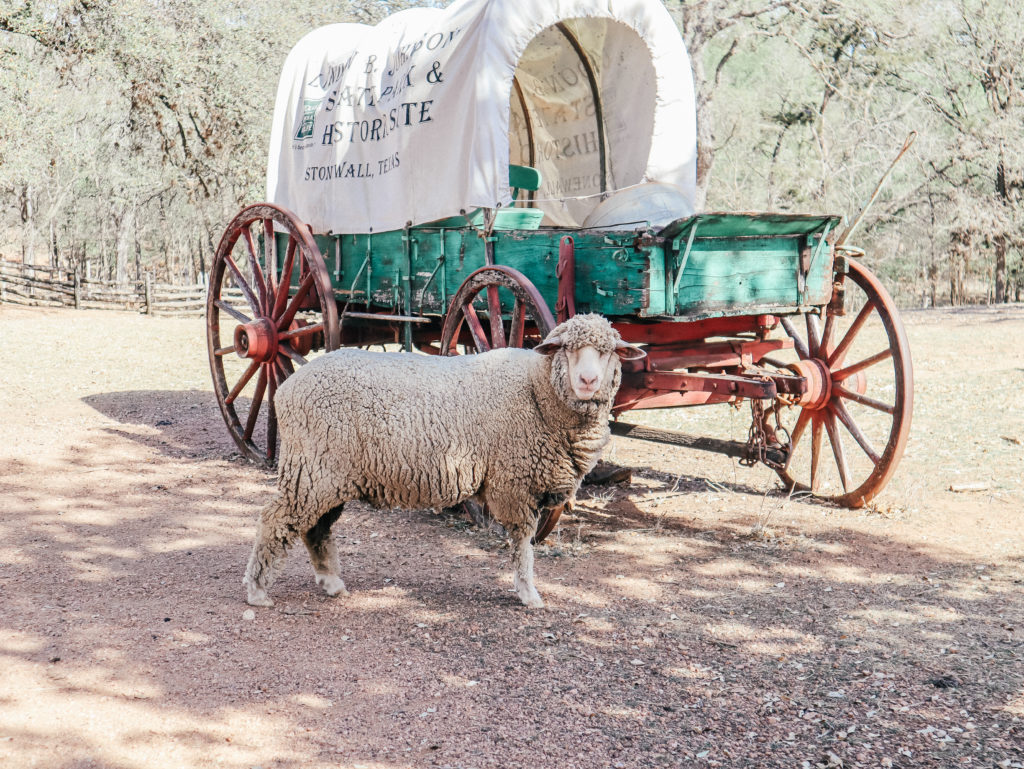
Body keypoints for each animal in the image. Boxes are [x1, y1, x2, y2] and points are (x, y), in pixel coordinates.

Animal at [240, 313, 643, 606]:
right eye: (566, 349)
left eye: (608, 351)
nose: (588, 381)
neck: (537, 389)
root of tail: (286, 388)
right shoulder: (515, 483)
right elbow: (523, 545)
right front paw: (529, 594)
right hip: (312, 469)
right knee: (276, 520)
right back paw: (257, 591)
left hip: (328, 475)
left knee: (316, 528)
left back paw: (331, 583)